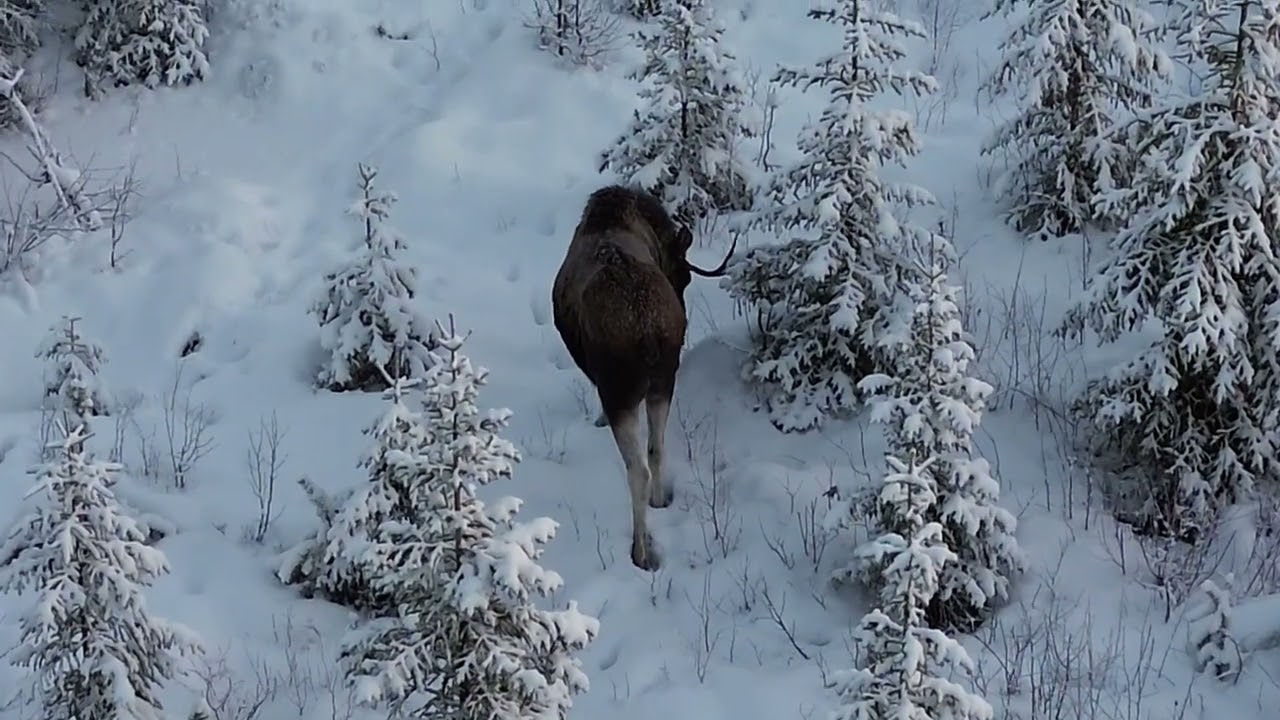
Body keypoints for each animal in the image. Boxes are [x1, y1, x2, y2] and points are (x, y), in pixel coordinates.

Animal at [551, 185, 736, 570]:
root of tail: (648, 332)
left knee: (636, 469)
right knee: (657, 450)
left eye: (685, 276)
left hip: (621, 392)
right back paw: (660, 501)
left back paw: (641, 551)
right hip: (663, 382)